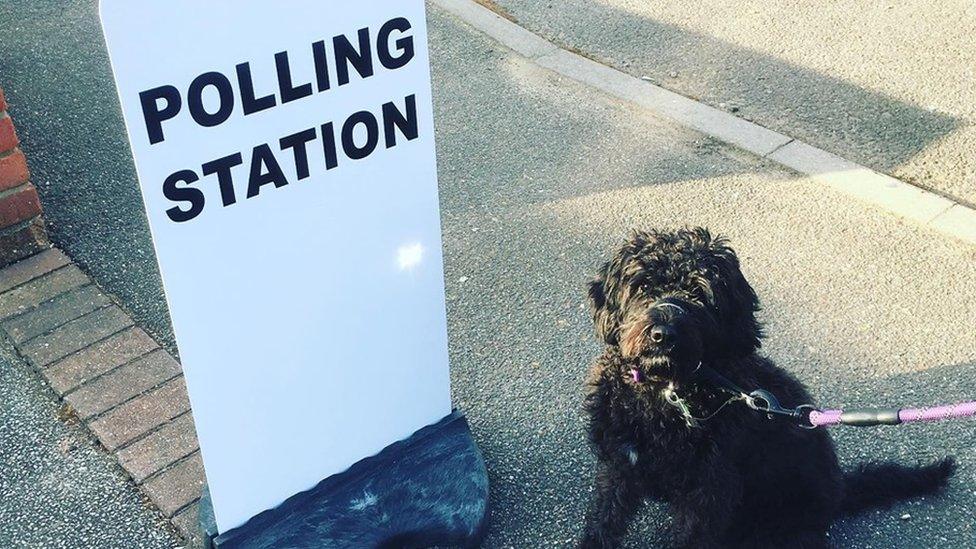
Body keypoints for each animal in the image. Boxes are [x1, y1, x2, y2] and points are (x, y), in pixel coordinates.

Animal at [580, 227, 952, 548]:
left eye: (699, 293)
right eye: (643, 287)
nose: (663, 334)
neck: (667, 394)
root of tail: (840, 490)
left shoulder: (709, 491)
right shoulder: (619, 465)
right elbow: (603, 522)